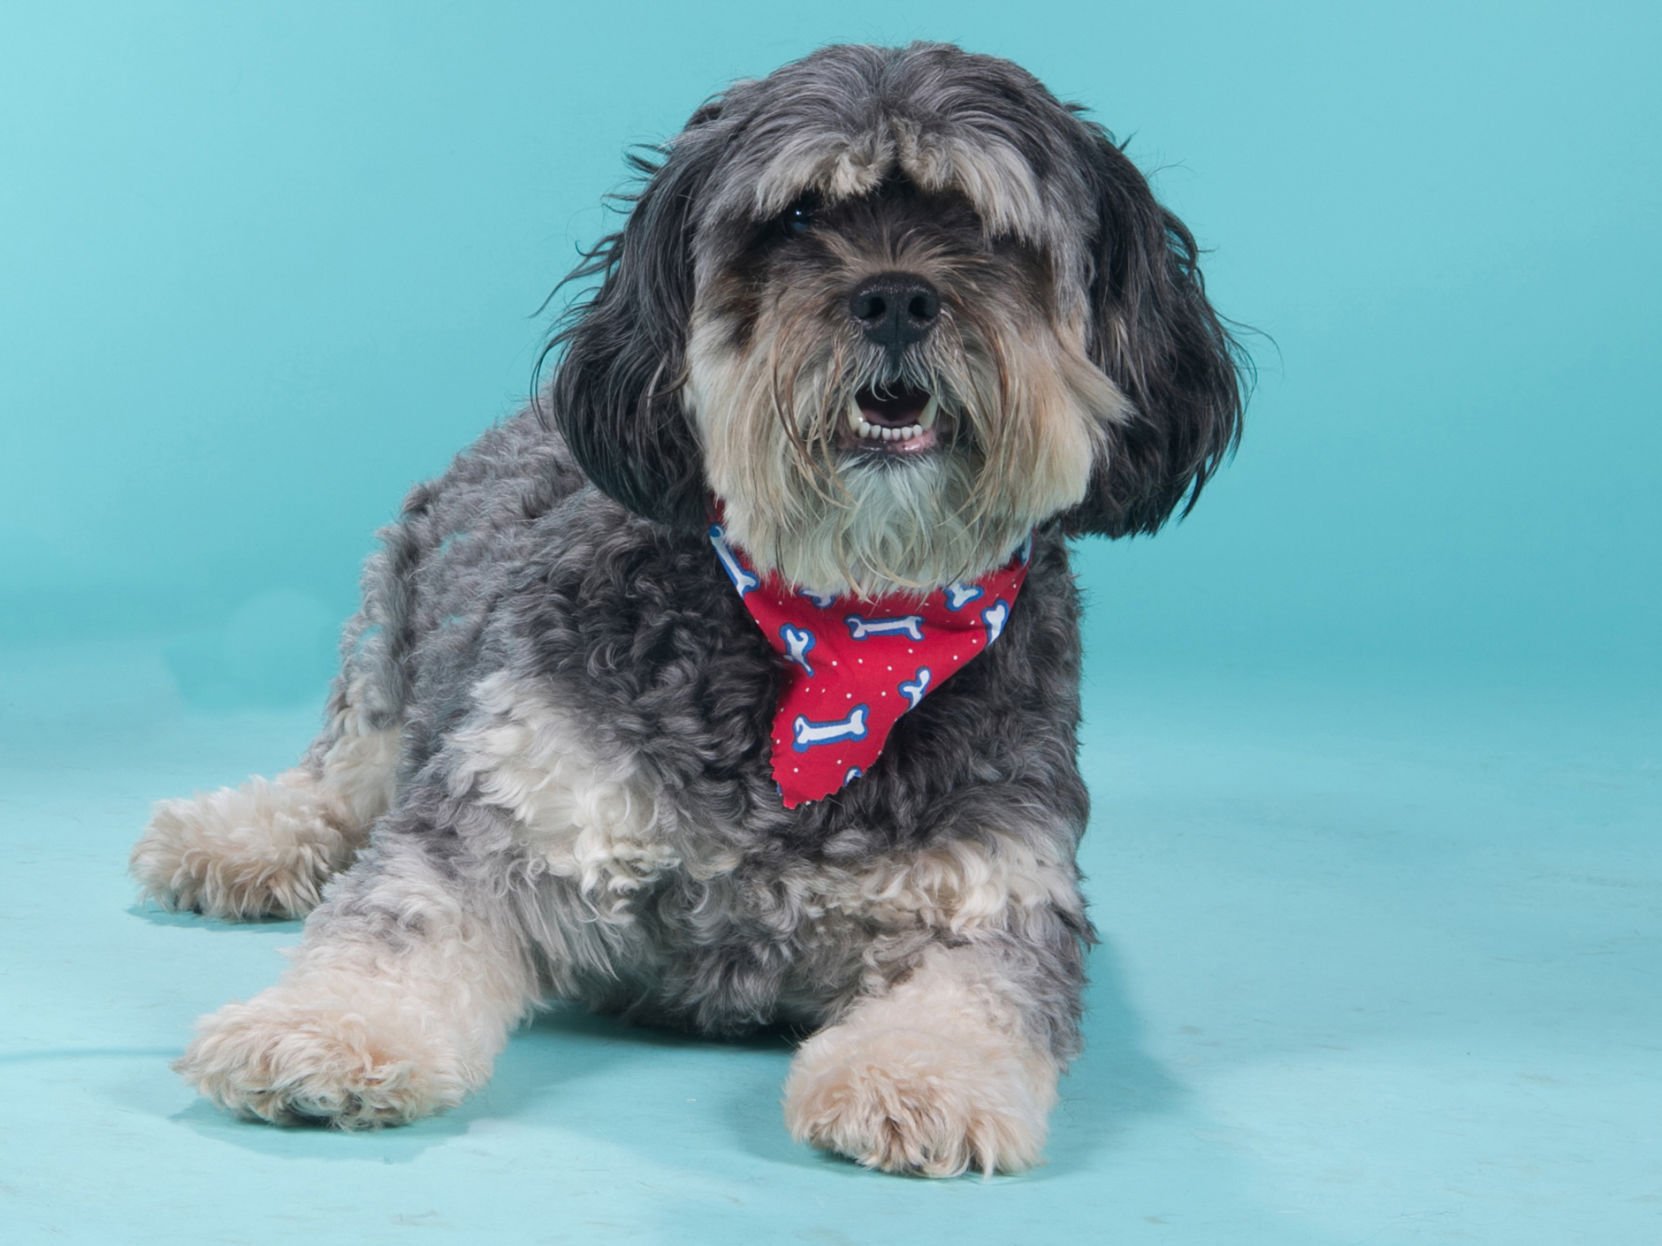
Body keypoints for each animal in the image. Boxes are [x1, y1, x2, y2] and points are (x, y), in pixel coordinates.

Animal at [129, 41, 1243, 1182]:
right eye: (798, 217)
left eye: (981, 224)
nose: (894, 298)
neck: (840, 635)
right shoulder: (511, 805)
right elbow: (403, 916)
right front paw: (328, 1031)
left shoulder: (997, 890)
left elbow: (982, 996)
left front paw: (920, 1079)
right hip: (392, 650)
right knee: (347, 777)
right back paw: (239, 838)